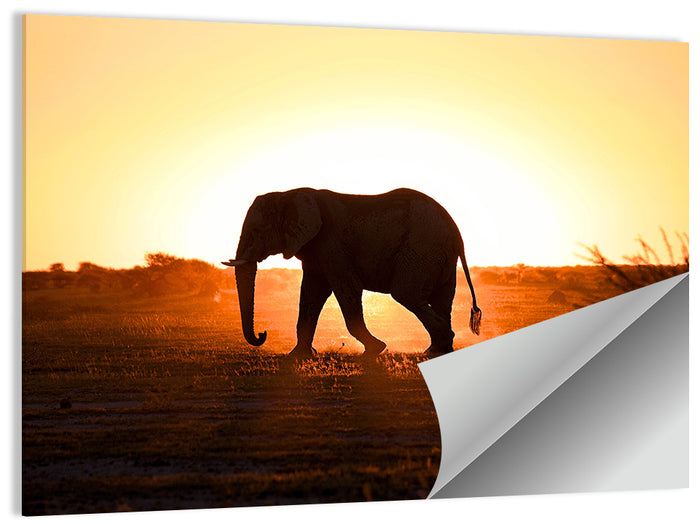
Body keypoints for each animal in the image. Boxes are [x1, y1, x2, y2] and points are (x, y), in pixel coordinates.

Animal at [222, 187, 481, 359]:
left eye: (257, 231)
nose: (262, 333)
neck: (289, 194)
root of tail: (456, 232)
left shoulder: (332, 243)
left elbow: (345, 289)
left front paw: (376, 350)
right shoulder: (315, 249)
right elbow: (311, 294)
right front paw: (298, 356)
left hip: (422, 248)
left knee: (406, 294)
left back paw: (438, 347)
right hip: (438, 256)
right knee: (441, 300)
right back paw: (439, 350)